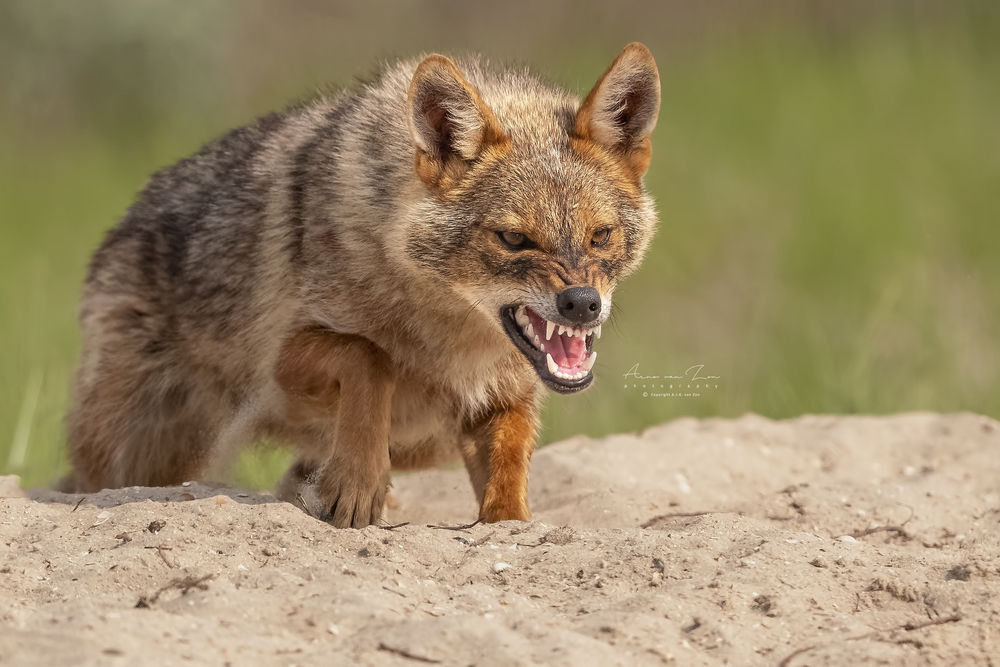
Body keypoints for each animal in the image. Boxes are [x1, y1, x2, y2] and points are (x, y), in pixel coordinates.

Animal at [64, 43, 660, 527]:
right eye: (514, 239)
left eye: (600, 235)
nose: (582, 305)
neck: (450, 344)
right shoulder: (284, 365)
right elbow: (368, 358)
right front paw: (356, 484)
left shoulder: (505, 400)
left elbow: (509, 485)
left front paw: (508, 524)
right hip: (145, 454)